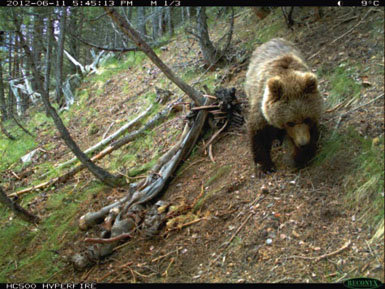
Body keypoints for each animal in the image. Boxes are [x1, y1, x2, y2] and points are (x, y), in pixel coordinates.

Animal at [244, 38, 322, 173]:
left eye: (306, 119)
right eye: (290, 122)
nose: (303, 143)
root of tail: (271, 39)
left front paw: (301, 157)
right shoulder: (262, 107)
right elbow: (259, 132)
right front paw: (265, 165)